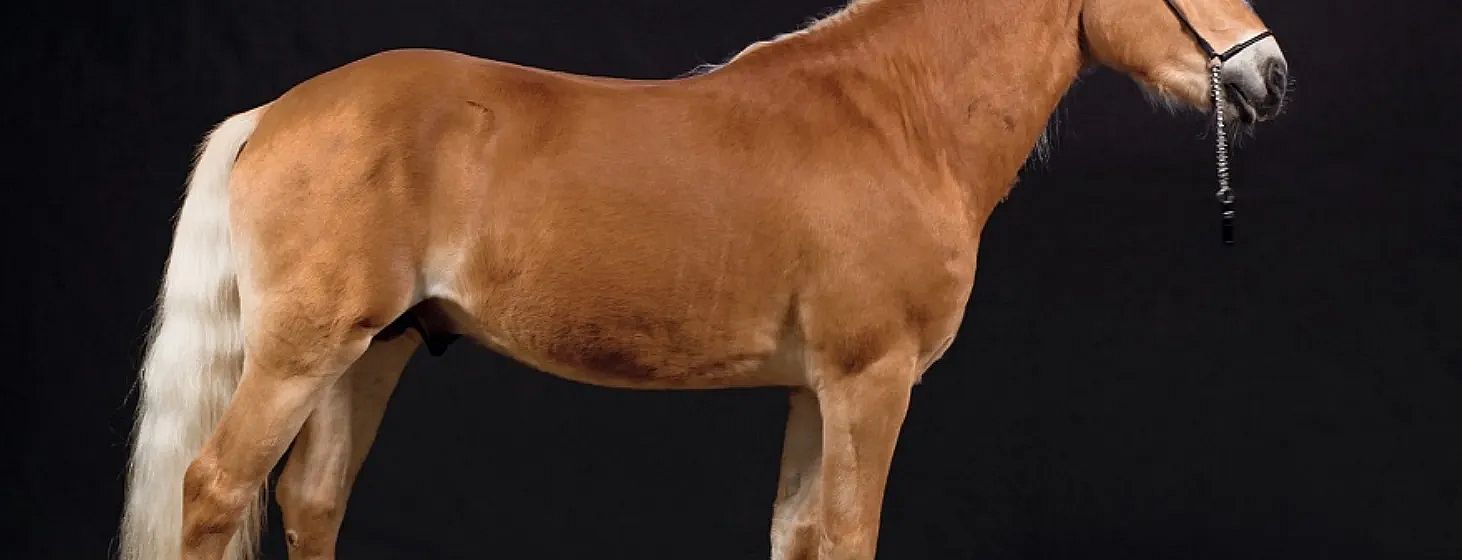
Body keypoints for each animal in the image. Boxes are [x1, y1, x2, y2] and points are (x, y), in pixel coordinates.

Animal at [119, 0, 1287, 558]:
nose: (1269, 75)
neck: (895, 116)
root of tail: (273, 113)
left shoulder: (815, 390)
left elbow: (799, 534)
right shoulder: (870, 380)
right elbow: (849, 535)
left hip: (374, 350)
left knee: (309, 501)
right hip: (299, 351)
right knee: (214, 489)